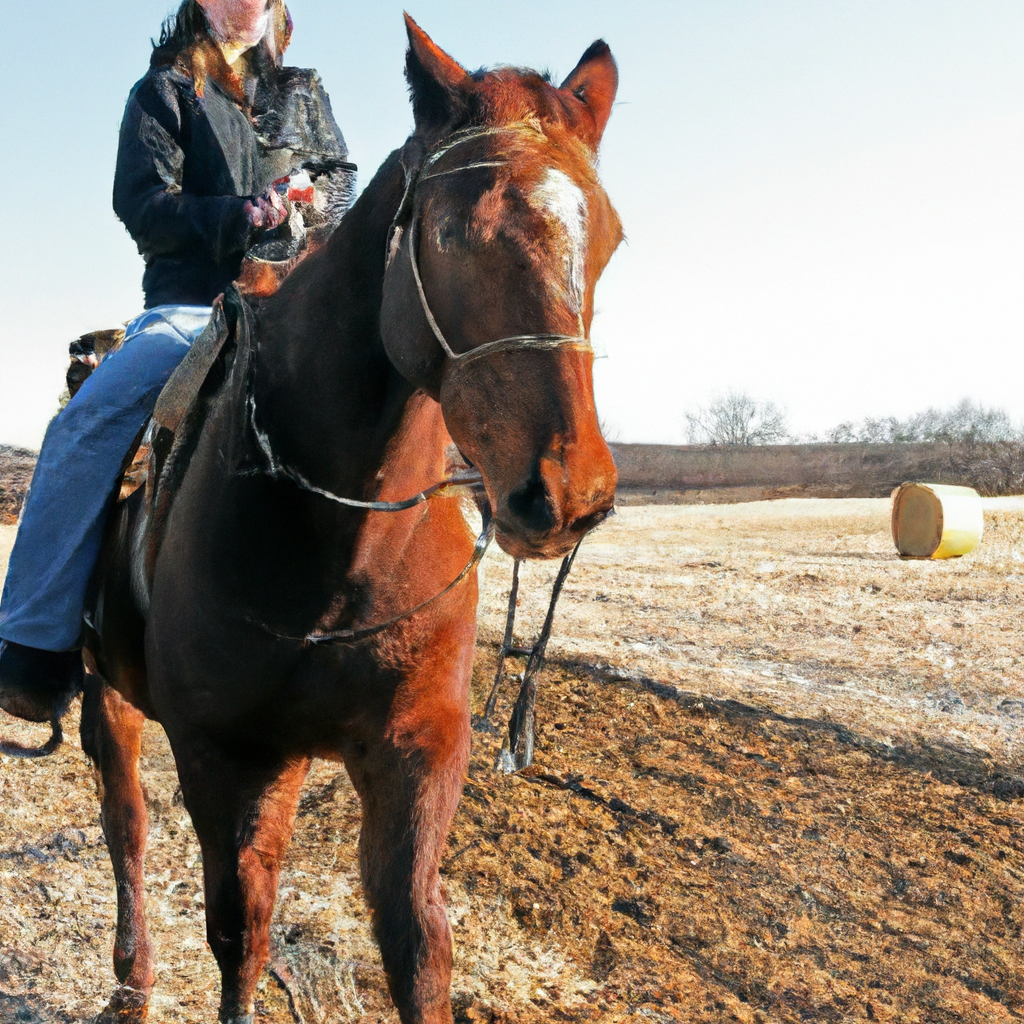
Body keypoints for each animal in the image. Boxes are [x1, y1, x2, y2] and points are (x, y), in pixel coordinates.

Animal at [79, 18, 618, 1024]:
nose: (568, 495)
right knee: (124, 824)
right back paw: (130, 982)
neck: (344, 538)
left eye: (607, 235)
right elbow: (238, 930)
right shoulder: (219, 750)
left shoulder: (416, 747)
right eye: (451, 230)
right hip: (113, 695)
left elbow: (417, 946)